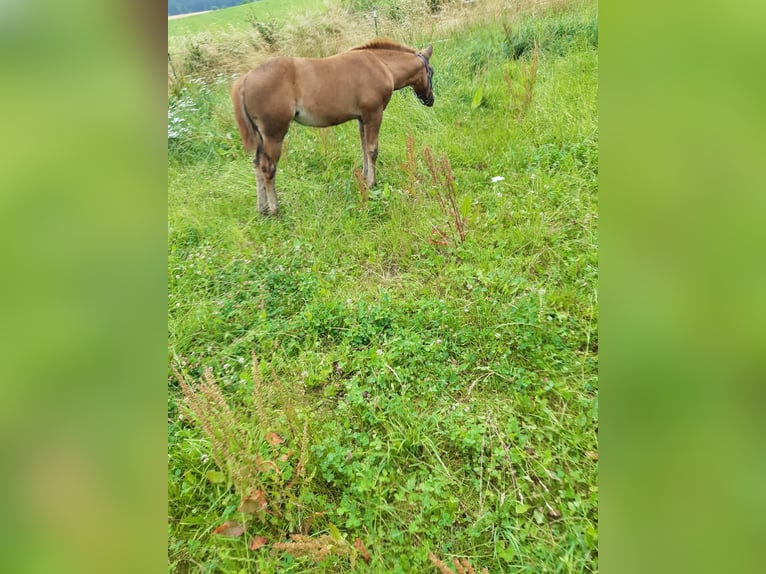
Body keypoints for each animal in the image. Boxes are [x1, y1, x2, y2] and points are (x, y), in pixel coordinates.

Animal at [230, 39, 432, 216]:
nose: (430, 100)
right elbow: (372, 150)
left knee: (257, 165)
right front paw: (372, 183)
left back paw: (262, 209)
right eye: (431, 72)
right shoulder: (374, 114)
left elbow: (363, 148)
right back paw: (274, 211)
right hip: (274, 134)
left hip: (261, 137)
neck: (381, 65)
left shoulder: (362, 118)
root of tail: (245, 79)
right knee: (268, 168)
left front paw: (364, 177)